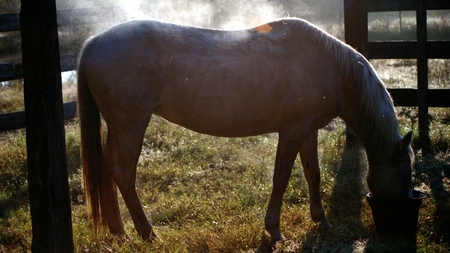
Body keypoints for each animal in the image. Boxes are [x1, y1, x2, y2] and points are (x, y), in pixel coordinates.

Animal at [77, 16, 414, 242]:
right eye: (404, 173)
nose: (402, 220)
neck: (332, 68)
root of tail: (94, 42)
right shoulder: (292, 131)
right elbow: (281, 178)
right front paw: (274, 229)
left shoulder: (308, 130)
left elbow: (313, 175)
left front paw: (321, 220)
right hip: (131, 125)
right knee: (123, 174)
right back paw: (148, 234)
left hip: (117, 127)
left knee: (107, 172)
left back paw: (119, 233)